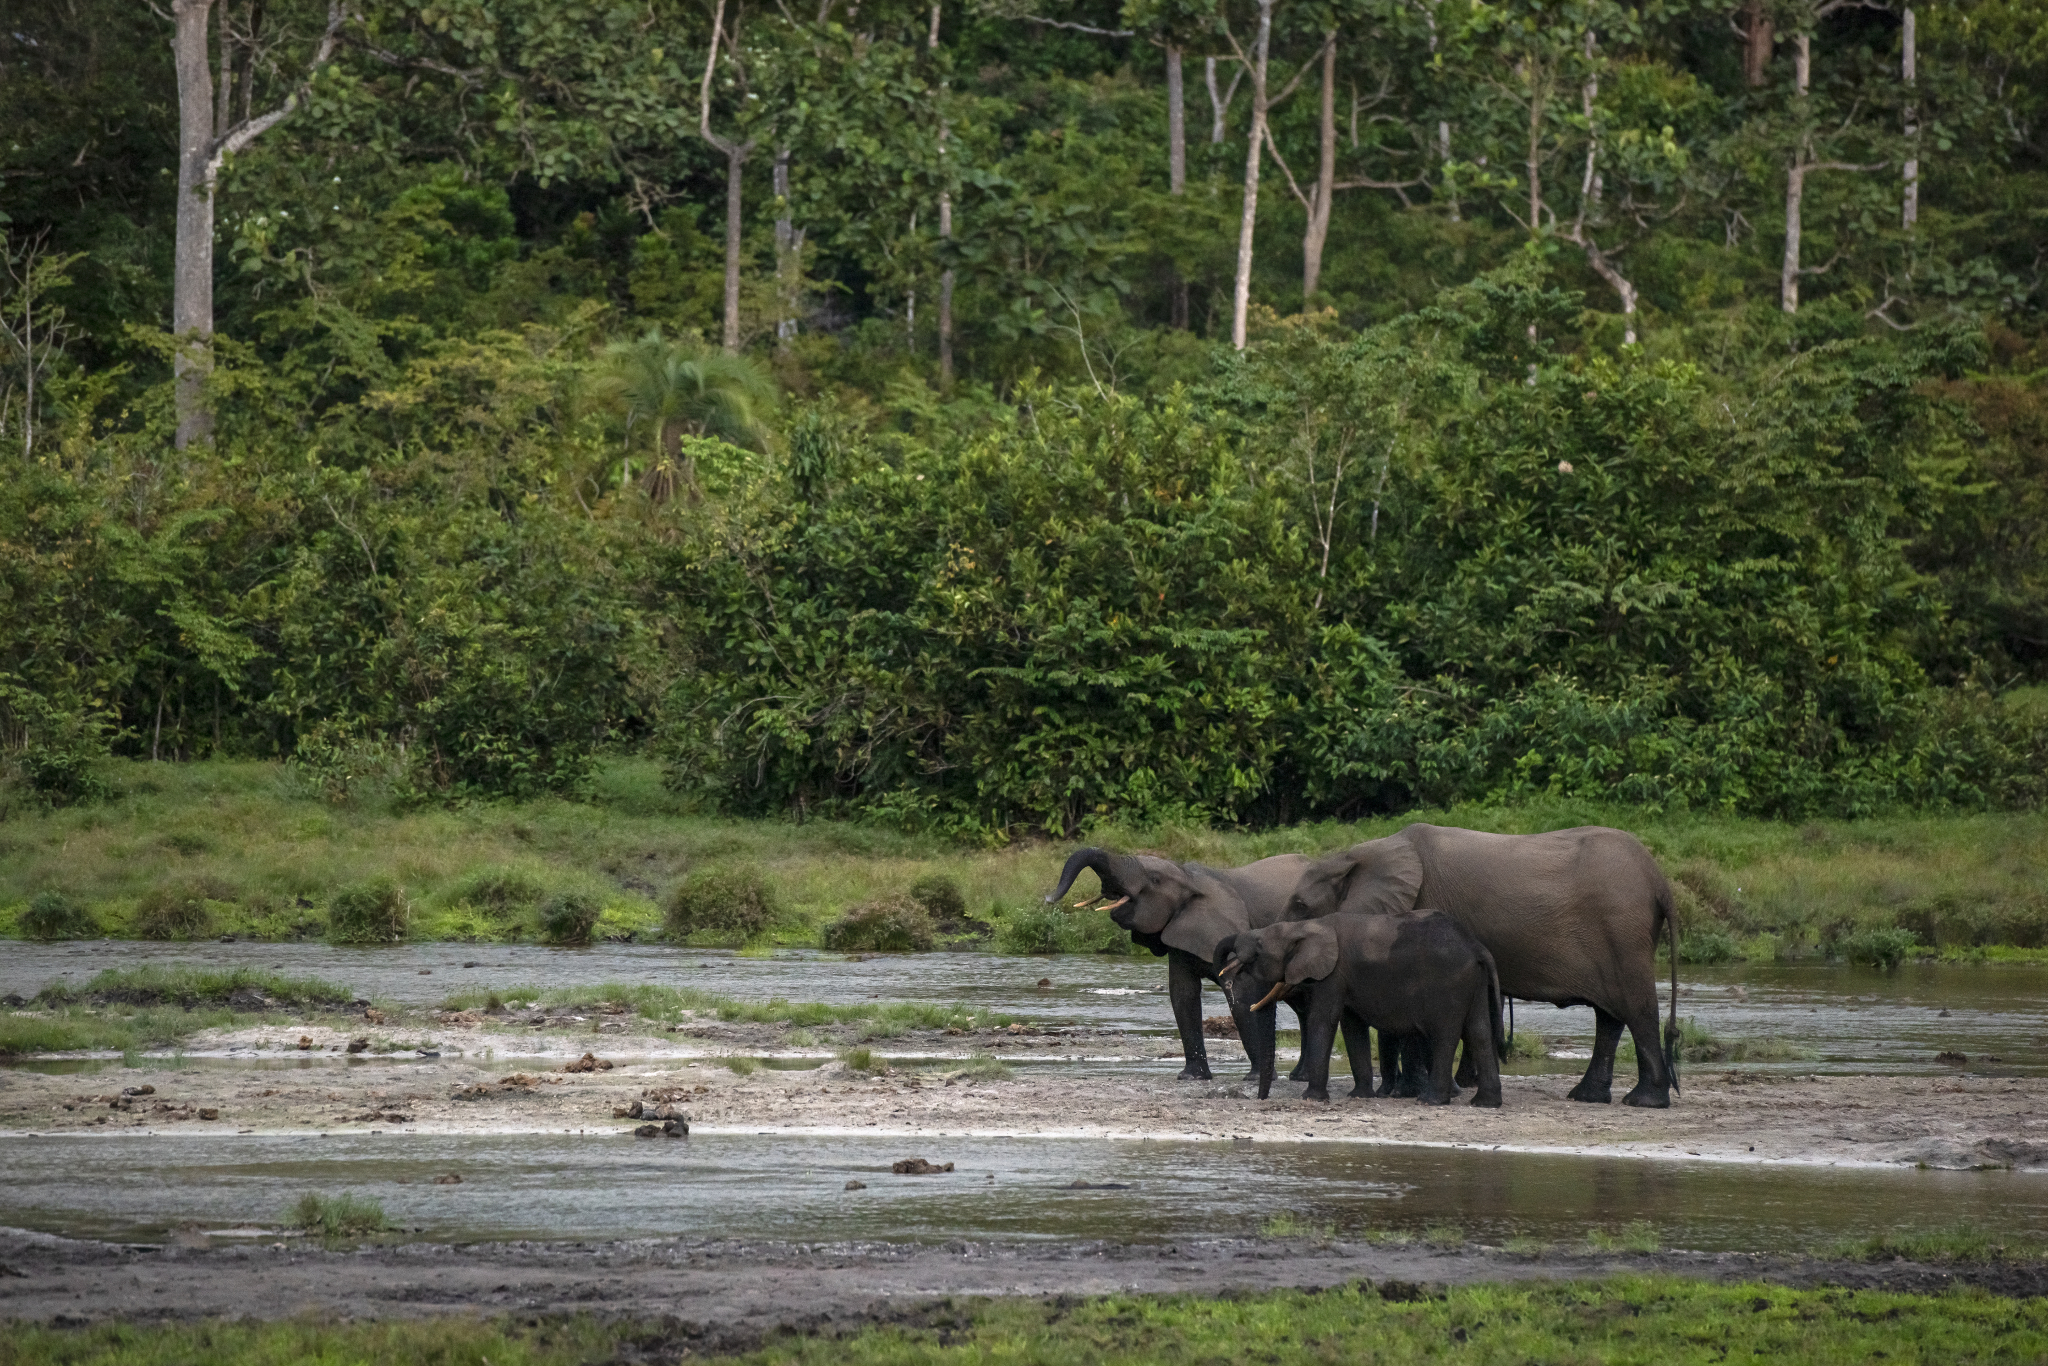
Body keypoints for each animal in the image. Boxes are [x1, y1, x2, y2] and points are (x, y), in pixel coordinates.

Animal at [1048, 843, 1302, 1081]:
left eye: (1154, 879)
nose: (1048, 899)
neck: (1191, 878)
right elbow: (1182, 995)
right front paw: (1191, 1077)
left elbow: (1241, 992)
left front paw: (1256, 1078)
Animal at [1212, 909, 1507, 1114]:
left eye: (1259, 949)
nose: (1260, 1098)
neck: (1306, 926)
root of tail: (1477, 947)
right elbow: (1352, 1025)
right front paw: (1359, 1096)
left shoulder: (1333, 974)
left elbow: (1324, 1020)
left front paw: (1311, 1098)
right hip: (1473, 981)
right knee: (1479, 1031)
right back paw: (1485, 1103)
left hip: (1448, 983)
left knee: (1445, 1034)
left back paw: (1430, 1101)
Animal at [1294, 823, 1679, 1114]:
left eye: (1299, 905)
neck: (1361, 853)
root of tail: (1660, 882)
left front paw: (1420, 1091)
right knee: (1609, 1016)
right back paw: (1588, 1097)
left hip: (1623, 932)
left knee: (1636, 1008)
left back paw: (1643, 1102)